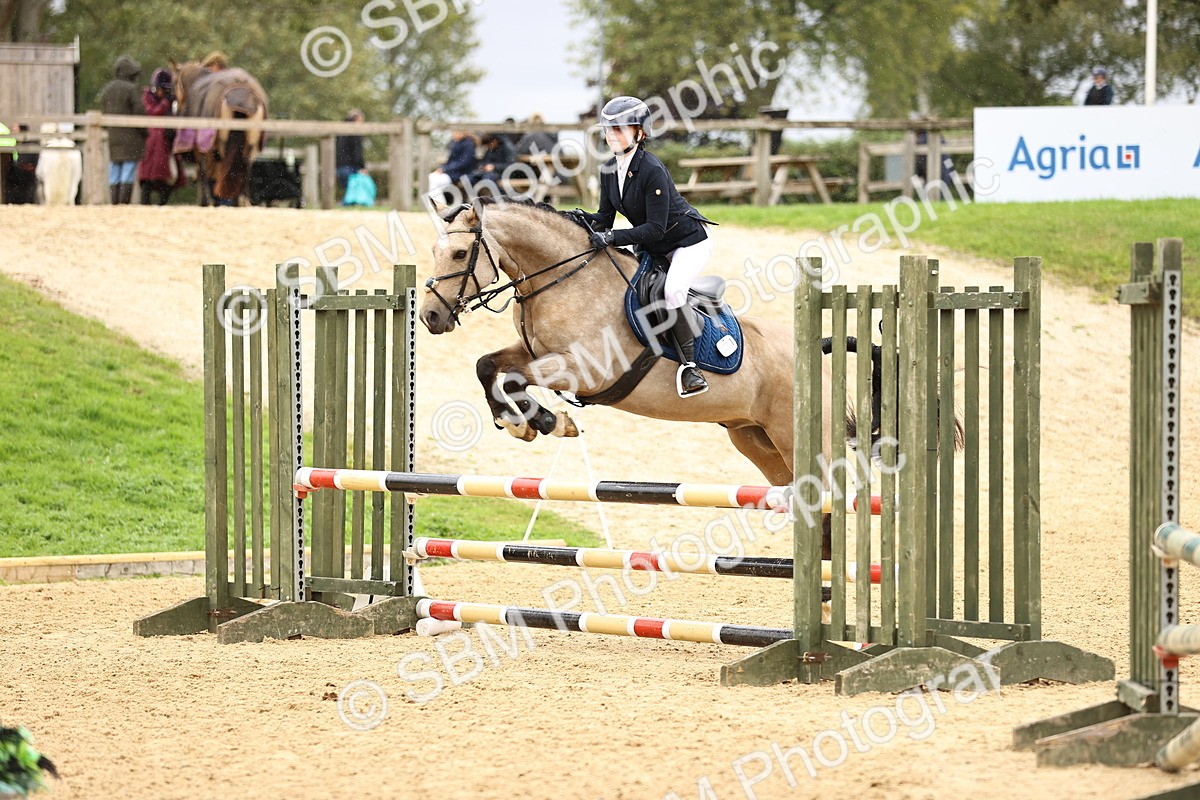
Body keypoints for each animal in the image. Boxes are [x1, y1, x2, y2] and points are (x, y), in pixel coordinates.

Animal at [171, 62, 268, 206]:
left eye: (174, 84)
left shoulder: (203, 149)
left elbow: (204, 173)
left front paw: (205, 202)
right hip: (250, 147)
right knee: (244, 172)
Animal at [418, 197, 867, 490]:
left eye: (460, 253)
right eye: (435, 249)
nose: (430, 316)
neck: (565, 279)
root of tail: (817, 350)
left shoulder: (586, 370)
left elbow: (512, 378)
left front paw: (547, 422)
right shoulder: (534, 352)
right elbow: (488, 367)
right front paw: (524, 424)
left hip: (803, 441)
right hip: (756, 440)